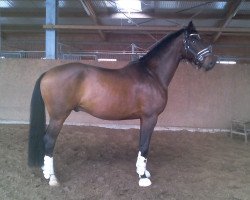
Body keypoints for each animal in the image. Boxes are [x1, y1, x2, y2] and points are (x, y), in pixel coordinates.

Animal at [27, 21, 217, 188]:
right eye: (194, 40)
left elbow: (142, 145)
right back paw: (52, 178)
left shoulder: (144, 119)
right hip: (59, 116)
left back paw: (45, 171)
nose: (212, 61)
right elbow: (144, 146)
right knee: (49, 140)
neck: (152, 74)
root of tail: (48, 73)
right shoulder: (150, 118)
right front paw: (143, 178)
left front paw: (143, 172)